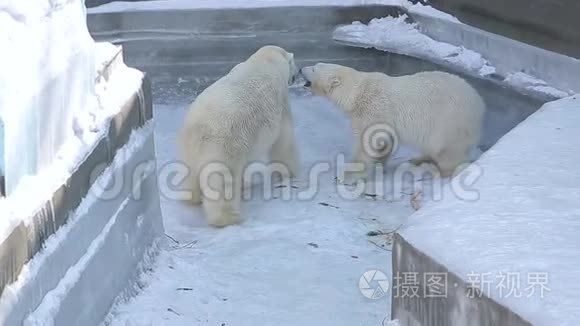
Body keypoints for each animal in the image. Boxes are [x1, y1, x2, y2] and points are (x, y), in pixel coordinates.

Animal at [177, 45, 300, 227]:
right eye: (294, 64)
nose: (298, 73)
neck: (267, 60)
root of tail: (199, 128)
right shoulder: (281, 101)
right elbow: (284, 139)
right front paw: (290, 172)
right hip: (224, 144)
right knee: (223, 180)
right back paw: (227, 217)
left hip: (188, 146)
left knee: (191, 172)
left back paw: (193, 198)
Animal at [300, 61, 484, 178]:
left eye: (314, 68)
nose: (302, 68)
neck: (357, 94)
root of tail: (479, 104)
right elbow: (385, 140)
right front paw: (381, 162)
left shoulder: (372, 111)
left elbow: (367, 142)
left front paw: (350, 173)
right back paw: (417, 159)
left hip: (450, 123)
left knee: (447, 152)